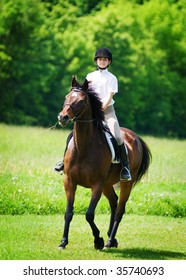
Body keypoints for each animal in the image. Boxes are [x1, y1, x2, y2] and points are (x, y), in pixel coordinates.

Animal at [57, 76, 151, 249]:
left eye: (81, 101)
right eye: (67, 97)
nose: (62, 117)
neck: (84, 147)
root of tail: (135, 137)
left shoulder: (97, 185)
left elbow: (89, 214)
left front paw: (98, 240)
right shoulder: (69, 182)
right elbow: (68, 213)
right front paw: (63, 242)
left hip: (125, 183)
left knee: (120, 209)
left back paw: (108, 241)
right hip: (107, 184)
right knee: (114, 203)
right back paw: (111, 238)